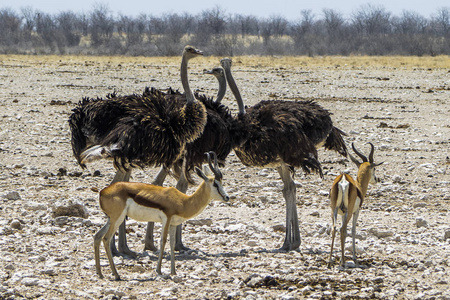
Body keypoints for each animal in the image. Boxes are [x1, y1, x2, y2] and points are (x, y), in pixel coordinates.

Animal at [94, 151, 229, 280]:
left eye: (222, 182)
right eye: (215, 184)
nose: (227, 197)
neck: (183, 201)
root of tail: (102, 192)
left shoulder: (174, 224)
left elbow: (172, 243)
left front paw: (173, 271)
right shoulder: (167, 219)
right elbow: (163, 241)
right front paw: (159, 270)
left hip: (111, 219)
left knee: (97, 236)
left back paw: (100, 274)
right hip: (118, 218)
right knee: (106, 238)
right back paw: (116, 275)